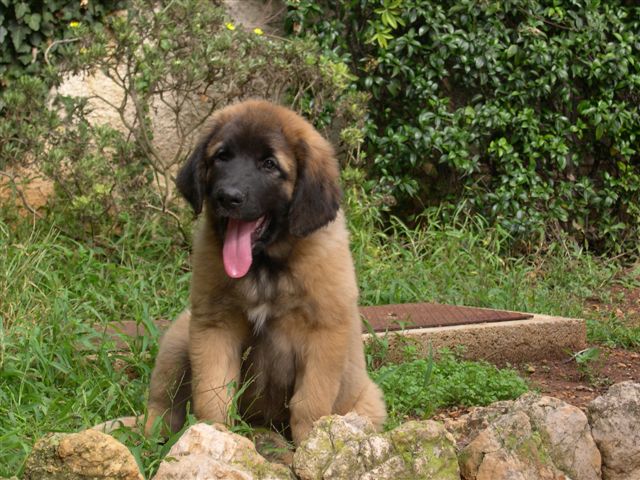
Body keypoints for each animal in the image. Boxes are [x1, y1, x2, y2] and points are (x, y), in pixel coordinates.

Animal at [145, 99, 384, 444]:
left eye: (269, 164)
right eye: (222, 156)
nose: (227, 197)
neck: (265, 268)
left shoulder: (324, 334)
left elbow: (309, 402)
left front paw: (312, 445)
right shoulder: (214, 326)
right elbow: (213, 393)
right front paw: (215, 434)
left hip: (368, 403)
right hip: (178, 340)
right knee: (162, 403)